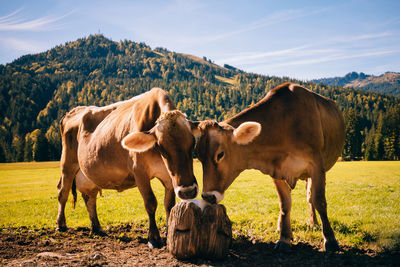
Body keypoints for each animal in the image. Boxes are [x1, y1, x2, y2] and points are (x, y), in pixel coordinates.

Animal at [56, 88, 198, 249]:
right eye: (161, 147)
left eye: (193, 142)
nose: (188, 191)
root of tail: (74, 111)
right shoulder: (139, 171)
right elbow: (150, 202)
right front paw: (154, 238)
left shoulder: (169, 177)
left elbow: (169, 205)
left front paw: (169, 236)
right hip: (67, 164)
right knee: (63, 191)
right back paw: (61, 224)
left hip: (87, 173)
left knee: (89, 196)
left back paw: (97, 228)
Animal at [195, 83, 346, 251]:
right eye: (198, 156)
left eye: (220, 154)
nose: (208, 196)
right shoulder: (276, 170)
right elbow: (284, 204)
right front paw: (284, 238)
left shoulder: (317, 165)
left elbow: (319, 200)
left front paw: (330, 239)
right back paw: (282, 226)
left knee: (310, 197)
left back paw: (313, 223)